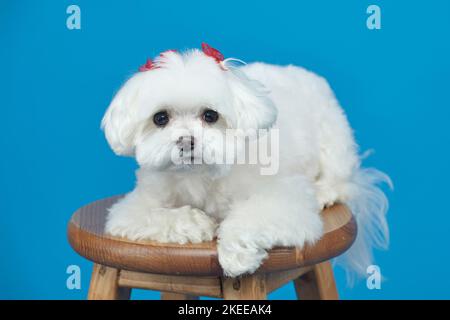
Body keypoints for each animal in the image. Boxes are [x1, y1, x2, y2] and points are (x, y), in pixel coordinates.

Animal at [102, 42, 390, 278]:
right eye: (160, 118)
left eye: (210, 115)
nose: (185, 141)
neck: (199, 174)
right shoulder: (135, 207)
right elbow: (156, 215)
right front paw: (194, 223)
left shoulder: (284, 200)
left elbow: (250, 219)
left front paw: (236, 256)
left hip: (333, 138)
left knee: (341, 182)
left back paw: (323, 193)